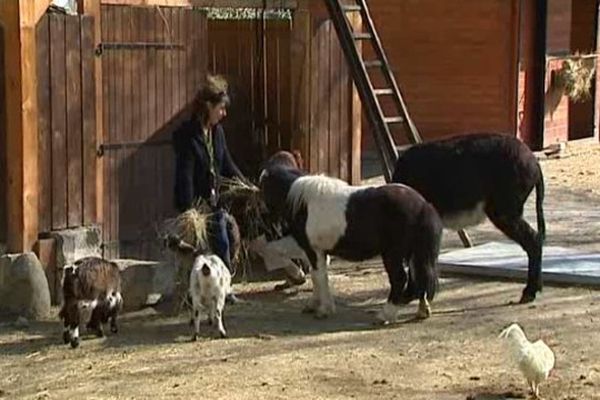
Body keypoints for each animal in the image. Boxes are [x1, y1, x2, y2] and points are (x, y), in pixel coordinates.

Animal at [258, 164, 440, 324]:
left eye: (262, 187)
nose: (261, 215)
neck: (305, 203)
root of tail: (423, 206)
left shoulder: (312, 249)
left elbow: (318, 276)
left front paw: (324, 309)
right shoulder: (314, 250)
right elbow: (316, 275)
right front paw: (313, 303)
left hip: (393, 254)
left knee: (400, 279)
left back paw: (385, 315)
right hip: (413, 254)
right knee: (418, 278)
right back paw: (421, 311)